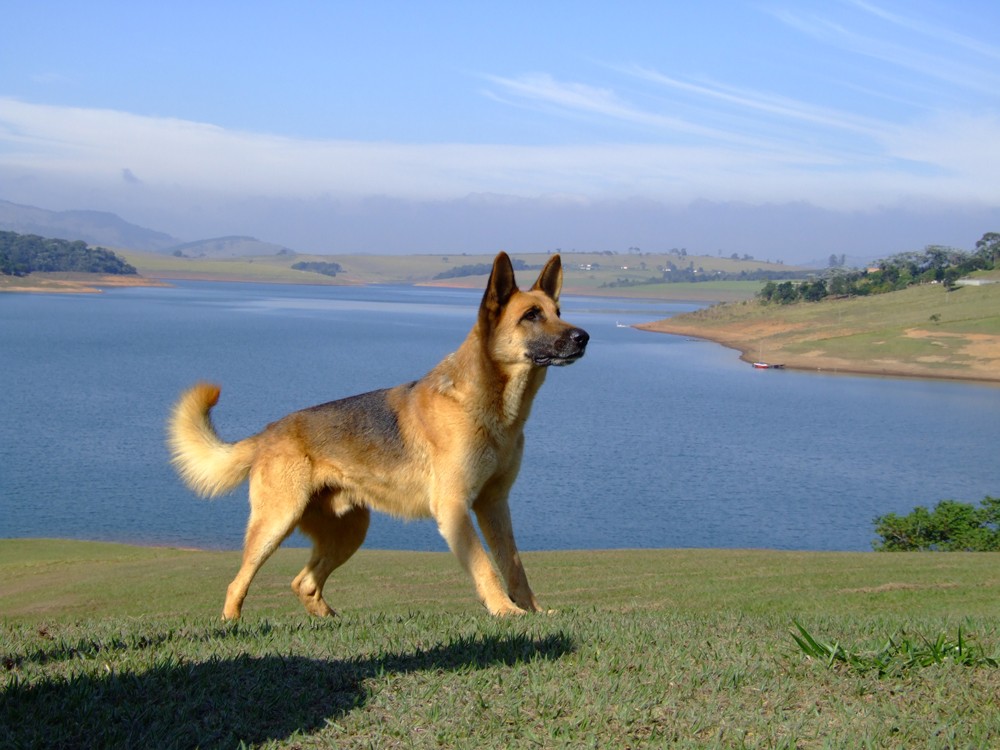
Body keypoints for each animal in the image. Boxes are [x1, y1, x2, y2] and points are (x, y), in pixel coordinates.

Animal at [165, 256, 584, 620]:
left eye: (558, 312)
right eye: (531, 315)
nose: (584, 337)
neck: (489, 402)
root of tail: (269, 431)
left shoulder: (494, 505)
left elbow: (514, 565)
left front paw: (533, 610)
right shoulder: (455, 508)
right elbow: (485, 565)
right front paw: (504, 611)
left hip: (349, 531)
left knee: (304, 583)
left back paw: (332, 621)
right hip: (275, 523)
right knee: (237, 583)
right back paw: (233, 623)